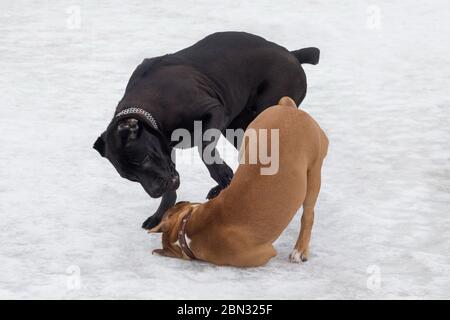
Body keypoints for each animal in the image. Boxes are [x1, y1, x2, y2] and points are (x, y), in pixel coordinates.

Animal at [94, 31, 320, 229]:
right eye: (130, 177)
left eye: (143, 159)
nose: (155, 190)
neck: (151, 109)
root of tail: (293, 54)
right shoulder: (167, 151)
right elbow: (173, 185)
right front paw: (160, 214)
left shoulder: (214, 111)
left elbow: (204, 148)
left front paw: (222, 174)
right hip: (237, 126)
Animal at [149, 97, 328, 268]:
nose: (180, 202)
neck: (186, 230)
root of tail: (288, 108)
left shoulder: (265, 253)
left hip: (313, 175)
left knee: (308, 216)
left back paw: (300, 250)